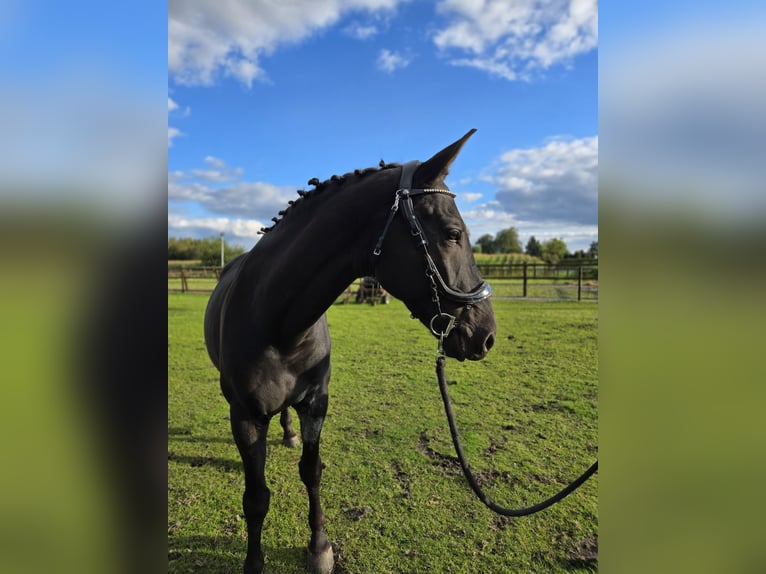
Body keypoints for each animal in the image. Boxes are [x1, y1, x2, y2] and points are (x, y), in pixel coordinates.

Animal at [202, 130, 498, 574]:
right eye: (452, 234)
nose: (487, 334)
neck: (278, 322)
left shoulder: (316, 404)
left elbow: (312, 472)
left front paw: (320, 547)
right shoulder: (246, 416)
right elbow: (256, 499)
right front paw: (254, 563)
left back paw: (287, 434)